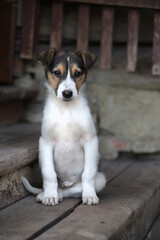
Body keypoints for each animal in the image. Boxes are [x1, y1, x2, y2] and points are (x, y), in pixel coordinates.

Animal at [21, 49, 106, 206]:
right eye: (57, 72)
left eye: (77, 73)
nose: (67, 94)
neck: (66, 109)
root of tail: (67, 183)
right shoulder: (46, 142)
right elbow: (49, 174)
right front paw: (49, 196)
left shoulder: (90, 140)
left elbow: (88, 173)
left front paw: (90, 195)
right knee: (59, 187)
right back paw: (47, 194)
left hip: (100, 180)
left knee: (71, 191)